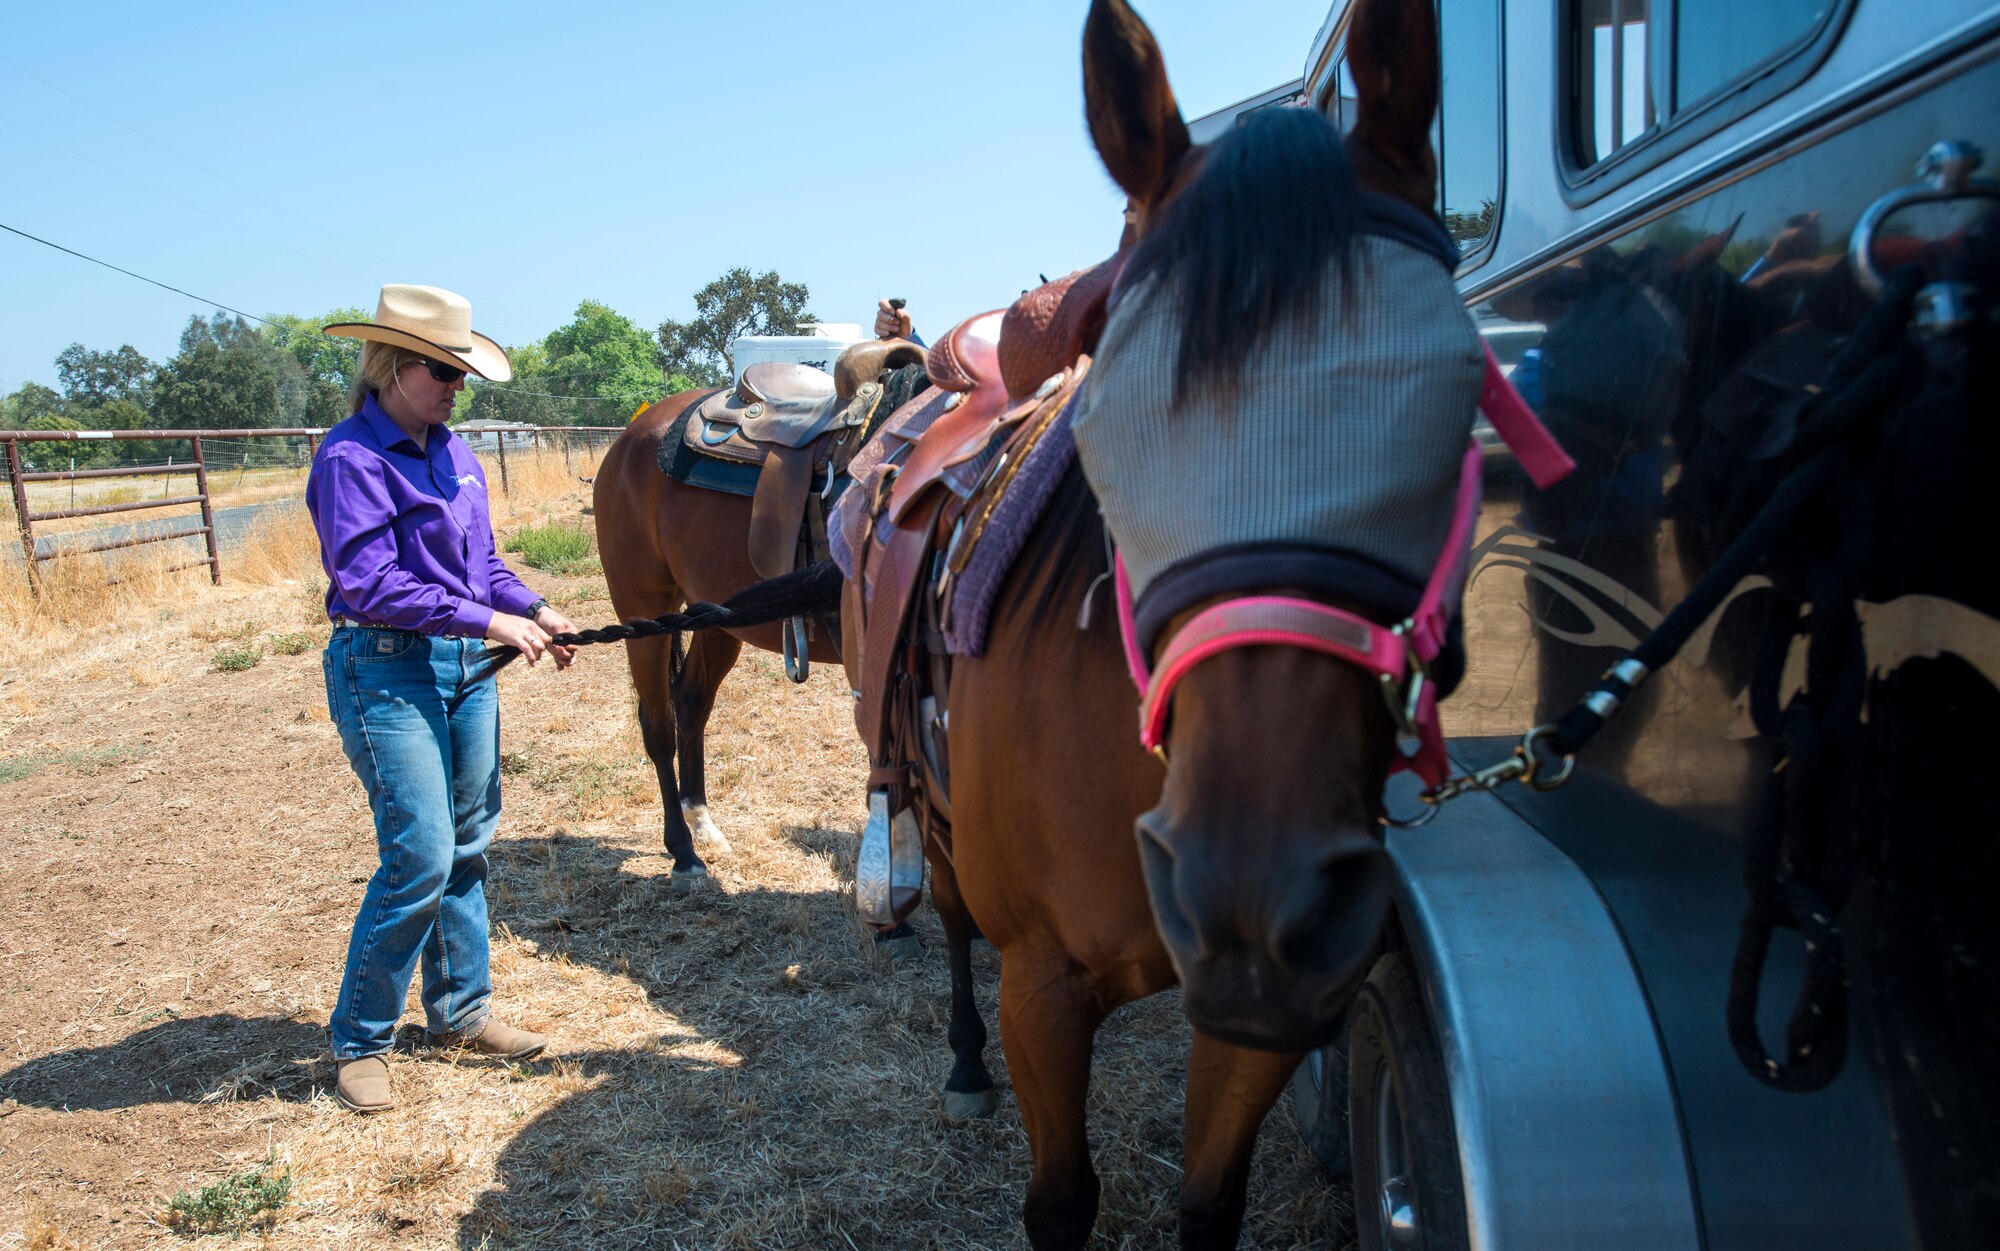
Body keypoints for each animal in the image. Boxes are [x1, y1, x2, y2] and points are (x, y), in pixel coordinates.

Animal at [876, 0, 1456, 1239]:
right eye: (1109, 421)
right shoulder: (1040, 986)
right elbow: (1059, 1201)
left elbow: (1208, 1204)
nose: (1256, 906)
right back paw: (960, 1064)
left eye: (1457, 394)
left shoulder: (1255, 1031)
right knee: (946, 912)